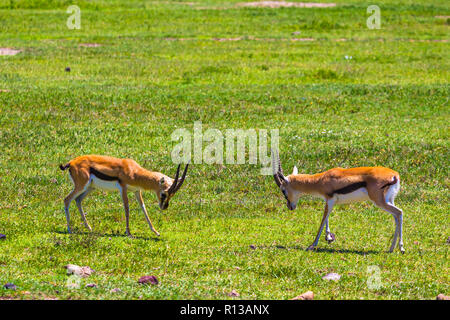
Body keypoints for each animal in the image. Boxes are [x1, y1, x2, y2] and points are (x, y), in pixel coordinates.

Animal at [59, 156, 189, 238]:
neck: (134, 171)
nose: (164, 207)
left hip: (90, 188)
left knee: (78, 200)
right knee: (67, 200)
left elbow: (143, 208)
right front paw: (128, 233)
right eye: (163, 194)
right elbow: (127, 208)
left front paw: (156, 232)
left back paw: (89, 228)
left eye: (172, 195)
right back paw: (69, 229)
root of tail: (71, 162)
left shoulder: (137, 191)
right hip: (81, 186)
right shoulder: (123, 189)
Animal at [272, 150, 406, 252]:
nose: (290, 206)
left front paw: (312, 245)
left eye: (283, 190)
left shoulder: (330, 200)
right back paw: (391, 248)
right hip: (389, 201)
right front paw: (329, 238)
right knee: (396, 217)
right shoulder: (330, 201)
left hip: (380, 201)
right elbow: (327, 218)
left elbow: (323, 219)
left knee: (399, 212)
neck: (321, 179)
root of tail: (394, 175)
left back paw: (401, 248)